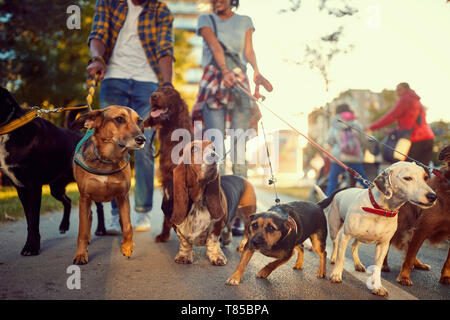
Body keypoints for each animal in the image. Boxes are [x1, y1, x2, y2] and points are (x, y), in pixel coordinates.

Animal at [71, 106, 146, 264]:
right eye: (119, 119)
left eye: (139, 121)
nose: (142, 139)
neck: (108, 159)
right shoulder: (84, 198)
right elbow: (82, 230)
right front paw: (80, 254)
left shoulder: (123, 197)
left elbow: (128, 226)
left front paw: (127, 247)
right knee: (89, 218)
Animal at [324, 161, 436, 296]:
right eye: (407, 178)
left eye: (426, 178)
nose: (433, 196)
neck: (380, 209)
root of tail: (340, 191)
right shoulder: (345, 236)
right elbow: (341, 258)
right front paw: (336, 275)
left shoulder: (383, 245)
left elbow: (377, 268)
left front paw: (377, 286)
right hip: (335, 230)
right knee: (336, 244)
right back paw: (333, 258)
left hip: (361, 238)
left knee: (354, 246)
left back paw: (358, 264)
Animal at [384, 145, 450, 284]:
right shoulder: (421, 230)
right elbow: (409, 257)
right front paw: (404, 277)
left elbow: (448, 261)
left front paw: (446, 276)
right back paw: (384, 265)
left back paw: (419, 264)